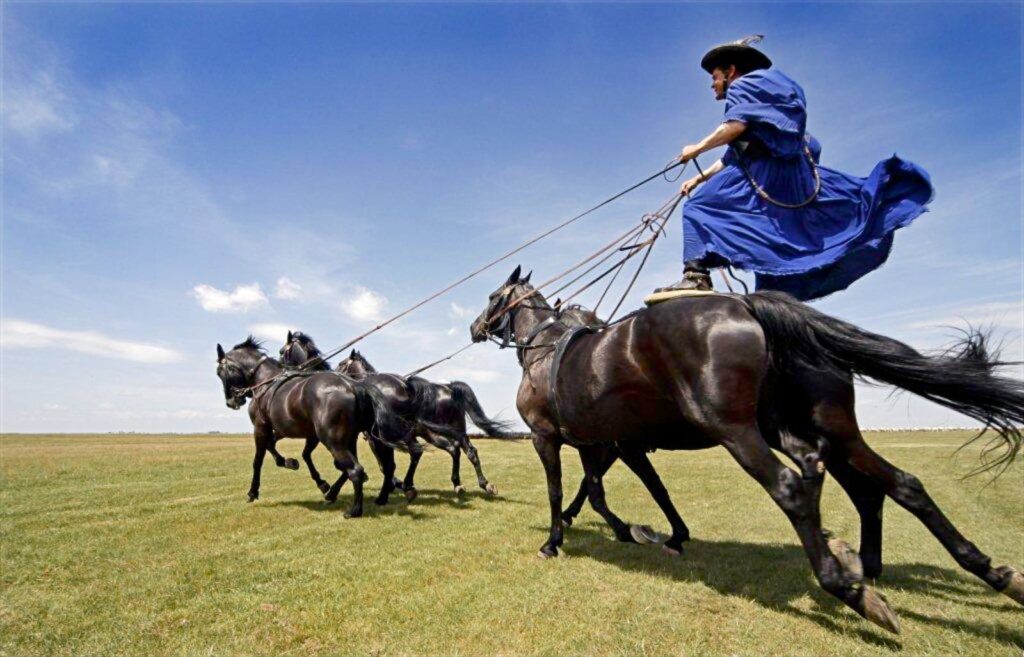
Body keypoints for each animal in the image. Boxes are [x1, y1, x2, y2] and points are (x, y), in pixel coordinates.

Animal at [468, 264, 1024, 630]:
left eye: (493, 296)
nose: (475, 327)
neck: (546, 350)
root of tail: (746, 305)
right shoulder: (602, 443)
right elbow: (609, 490)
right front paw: (648, 533)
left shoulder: (555, 439)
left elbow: (565, 491)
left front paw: (557, 540)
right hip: (825, 430)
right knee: (891, 484)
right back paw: (984, 571)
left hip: (738, 430)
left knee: (795, 488)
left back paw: (848, 586)